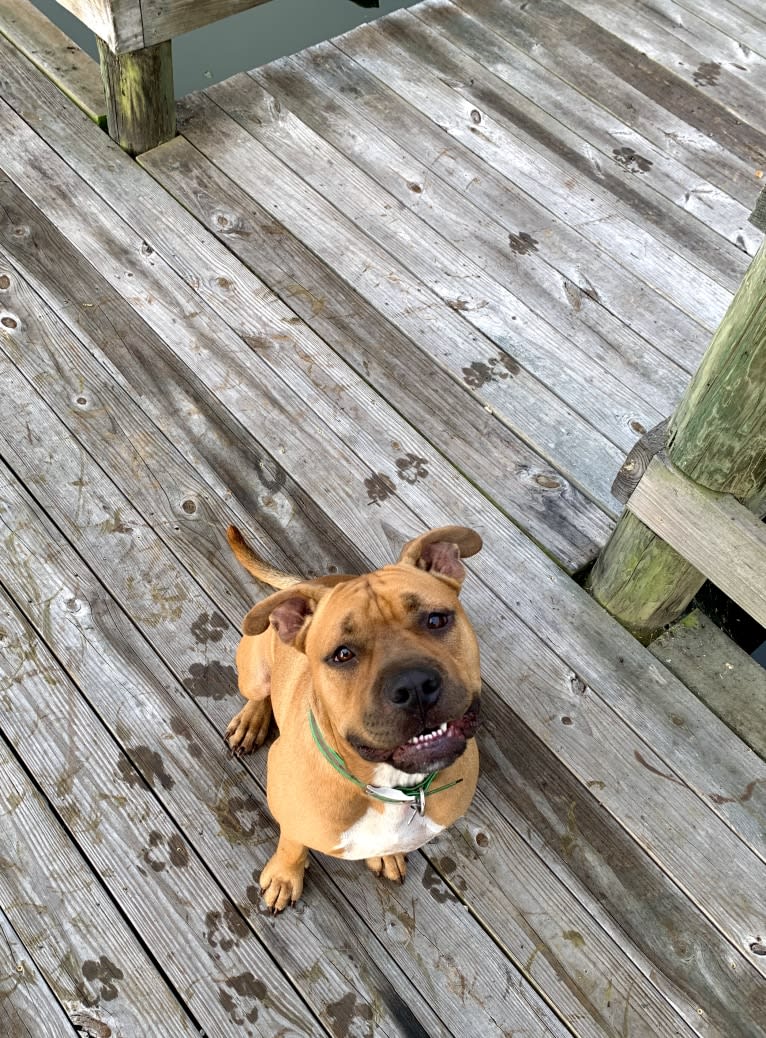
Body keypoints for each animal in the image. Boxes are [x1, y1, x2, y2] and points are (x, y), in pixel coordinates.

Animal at [224, 527, 479, 909]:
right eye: (342, 655)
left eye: (436, 620)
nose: (414, 685)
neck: (390, 787)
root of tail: (311, 582)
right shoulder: (293, 815)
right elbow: (292, 844)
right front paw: (285, 876)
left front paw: (386, 855)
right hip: (253, 671)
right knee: (259, 692)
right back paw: (250, 721)